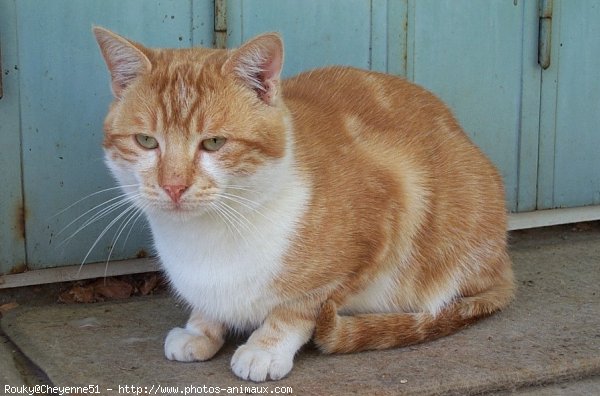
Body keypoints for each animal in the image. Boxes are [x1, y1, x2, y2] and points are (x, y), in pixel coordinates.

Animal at [94, 25, 516, 384]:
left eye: (214, 143)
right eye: (146, 141)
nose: (174, 186)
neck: (210, 234)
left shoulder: (385, 221)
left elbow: (300, 306)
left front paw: (265, 348)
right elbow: (211, 306)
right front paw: (200, 328)